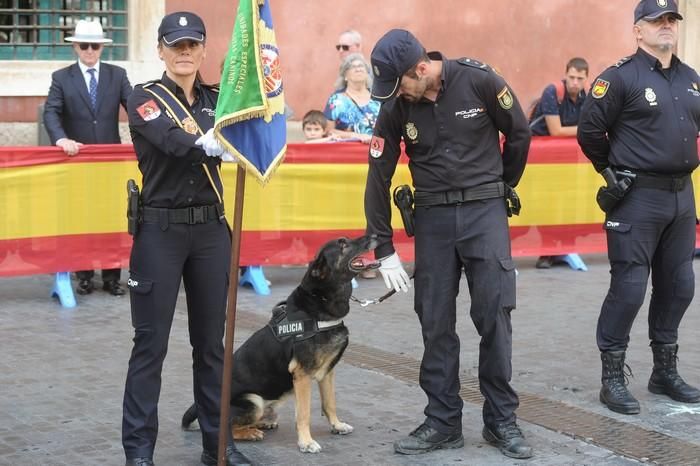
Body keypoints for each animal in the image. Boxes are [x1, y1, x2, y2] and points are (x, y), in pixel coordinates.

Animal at [180, 235, 378, 454]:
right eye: (343, 244)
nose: (374, 236)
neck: (320, 302)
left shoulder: (327, 372)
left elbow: (329, 403)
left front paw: (336, 425)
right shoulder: (302, 375)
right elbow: (304, 414)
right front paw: (306, 442)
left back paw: (262, 423)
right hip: (253, 401)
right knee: (228, 429)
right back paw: (250, 433)